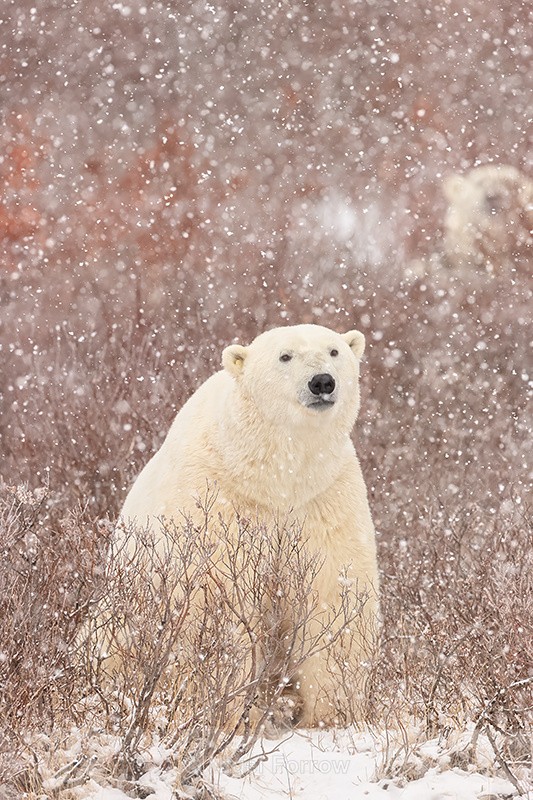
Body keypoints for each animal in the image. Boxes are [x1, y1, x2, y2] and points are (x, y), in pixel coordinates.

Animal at [111, 324, 380, 730]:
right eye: (285, 356)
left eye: (334, 350)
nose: (322, 382)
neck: (273, 479)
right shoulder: (216, 504)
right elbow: (217, 606)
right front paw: (229, 715)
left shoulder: (326, 499)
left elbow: (335, 596)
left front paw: (331, 716)